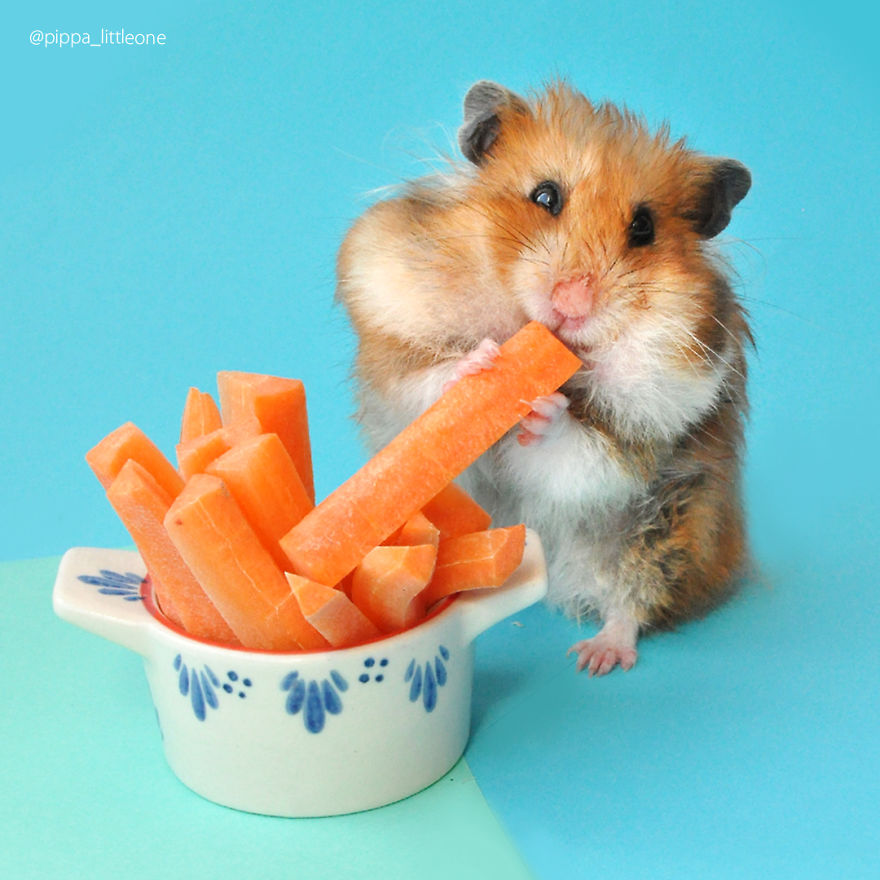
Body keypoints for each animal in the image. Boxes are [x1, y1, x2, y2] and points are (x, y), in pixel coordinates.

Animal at [336, 80, 752, 675]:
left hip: (665, 530)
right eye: (545, 197)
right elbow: (421, 380)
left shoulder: (662, 408)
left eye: (643, 228)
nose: (571, 305)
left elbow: (585, 448)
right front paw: (482, 363)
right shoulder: (387, 314)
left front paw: (545, 411)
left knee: (631, 600)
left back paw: (596, 657)